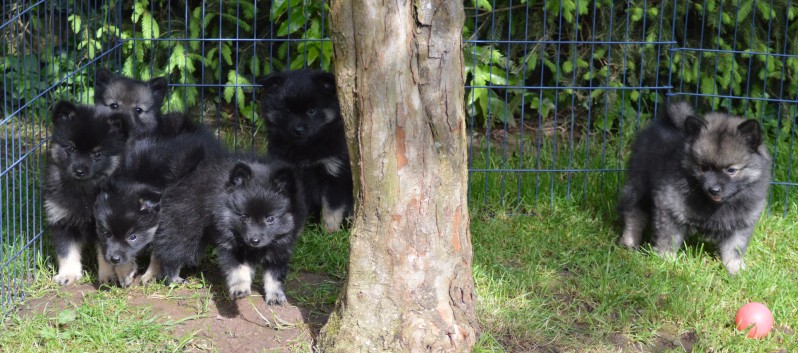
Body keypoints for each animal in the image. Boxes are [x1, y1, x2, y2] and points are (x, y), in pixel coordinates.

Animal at [620, 100, 772, 274]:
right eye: (703, 168)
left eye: (731, 170)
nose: (713, 189)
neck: (715, 205)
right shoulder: (669, 208)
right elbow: (668, 239)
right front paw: (666, 261)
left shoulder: (741, 223)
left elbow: (734, 249)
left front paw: (736, 270)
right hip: (639, 187)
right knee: (634, 214)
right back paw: (629, 243)